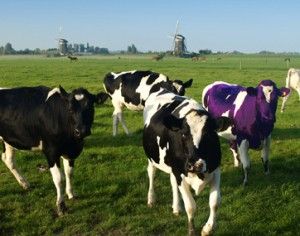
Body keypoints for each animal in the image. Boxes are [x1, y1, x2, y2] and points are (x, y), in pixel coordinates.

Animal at [0, 86, 105, 216]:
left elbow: (69, 173)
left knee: (8, 160)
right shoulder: (51, 152)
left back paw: (24, 184)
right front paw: (61, 206)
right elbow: (59, 179)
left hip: (8, 140)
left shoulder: (70, 152)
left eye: (90, 107)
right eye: (70, 109)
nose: (81, 131)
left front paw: (71, 194)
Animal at [142, 86, 230, 236]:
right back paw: (151, 199)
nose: (195, 164)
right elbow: (191, 206)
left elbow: (215, 202)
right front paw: (191, 231)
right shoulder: (180, 174)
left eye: (209, 134)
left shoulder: (216, 170)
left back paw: (176, 207)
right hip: (153, 158)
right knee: (151, 173)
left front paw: (208, 228)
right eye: (183, 134)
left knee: (172, 182)